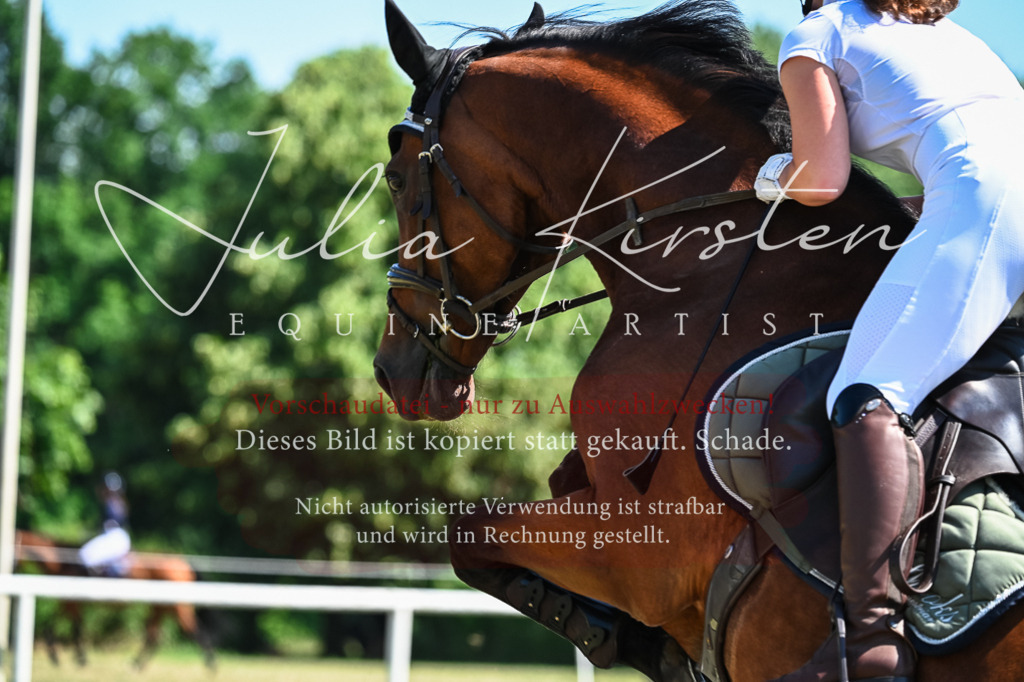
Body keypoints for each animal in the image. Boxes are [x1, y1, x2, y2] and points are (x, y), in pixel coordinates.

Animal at [14, 529, 216, 671]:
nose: (13, 567)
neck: (64, 563)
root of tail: (183, 564)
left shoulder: (71, 602)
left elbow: (72, 628)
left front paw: (72, 658)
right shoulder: (70, 602)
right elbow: (65, 627)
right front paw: (67, 657)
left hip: (177, 608)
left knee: (196, 632)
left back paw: (211, 666)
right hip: (160, 608)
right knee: (154, 637)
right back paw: (136, 664)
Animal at [374, 1, 1024, 680]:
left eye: (394, 178)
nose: (389, 369)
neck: (707, 267)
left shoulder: (636, 551)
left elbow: (467, 535)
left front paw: (605, 630)